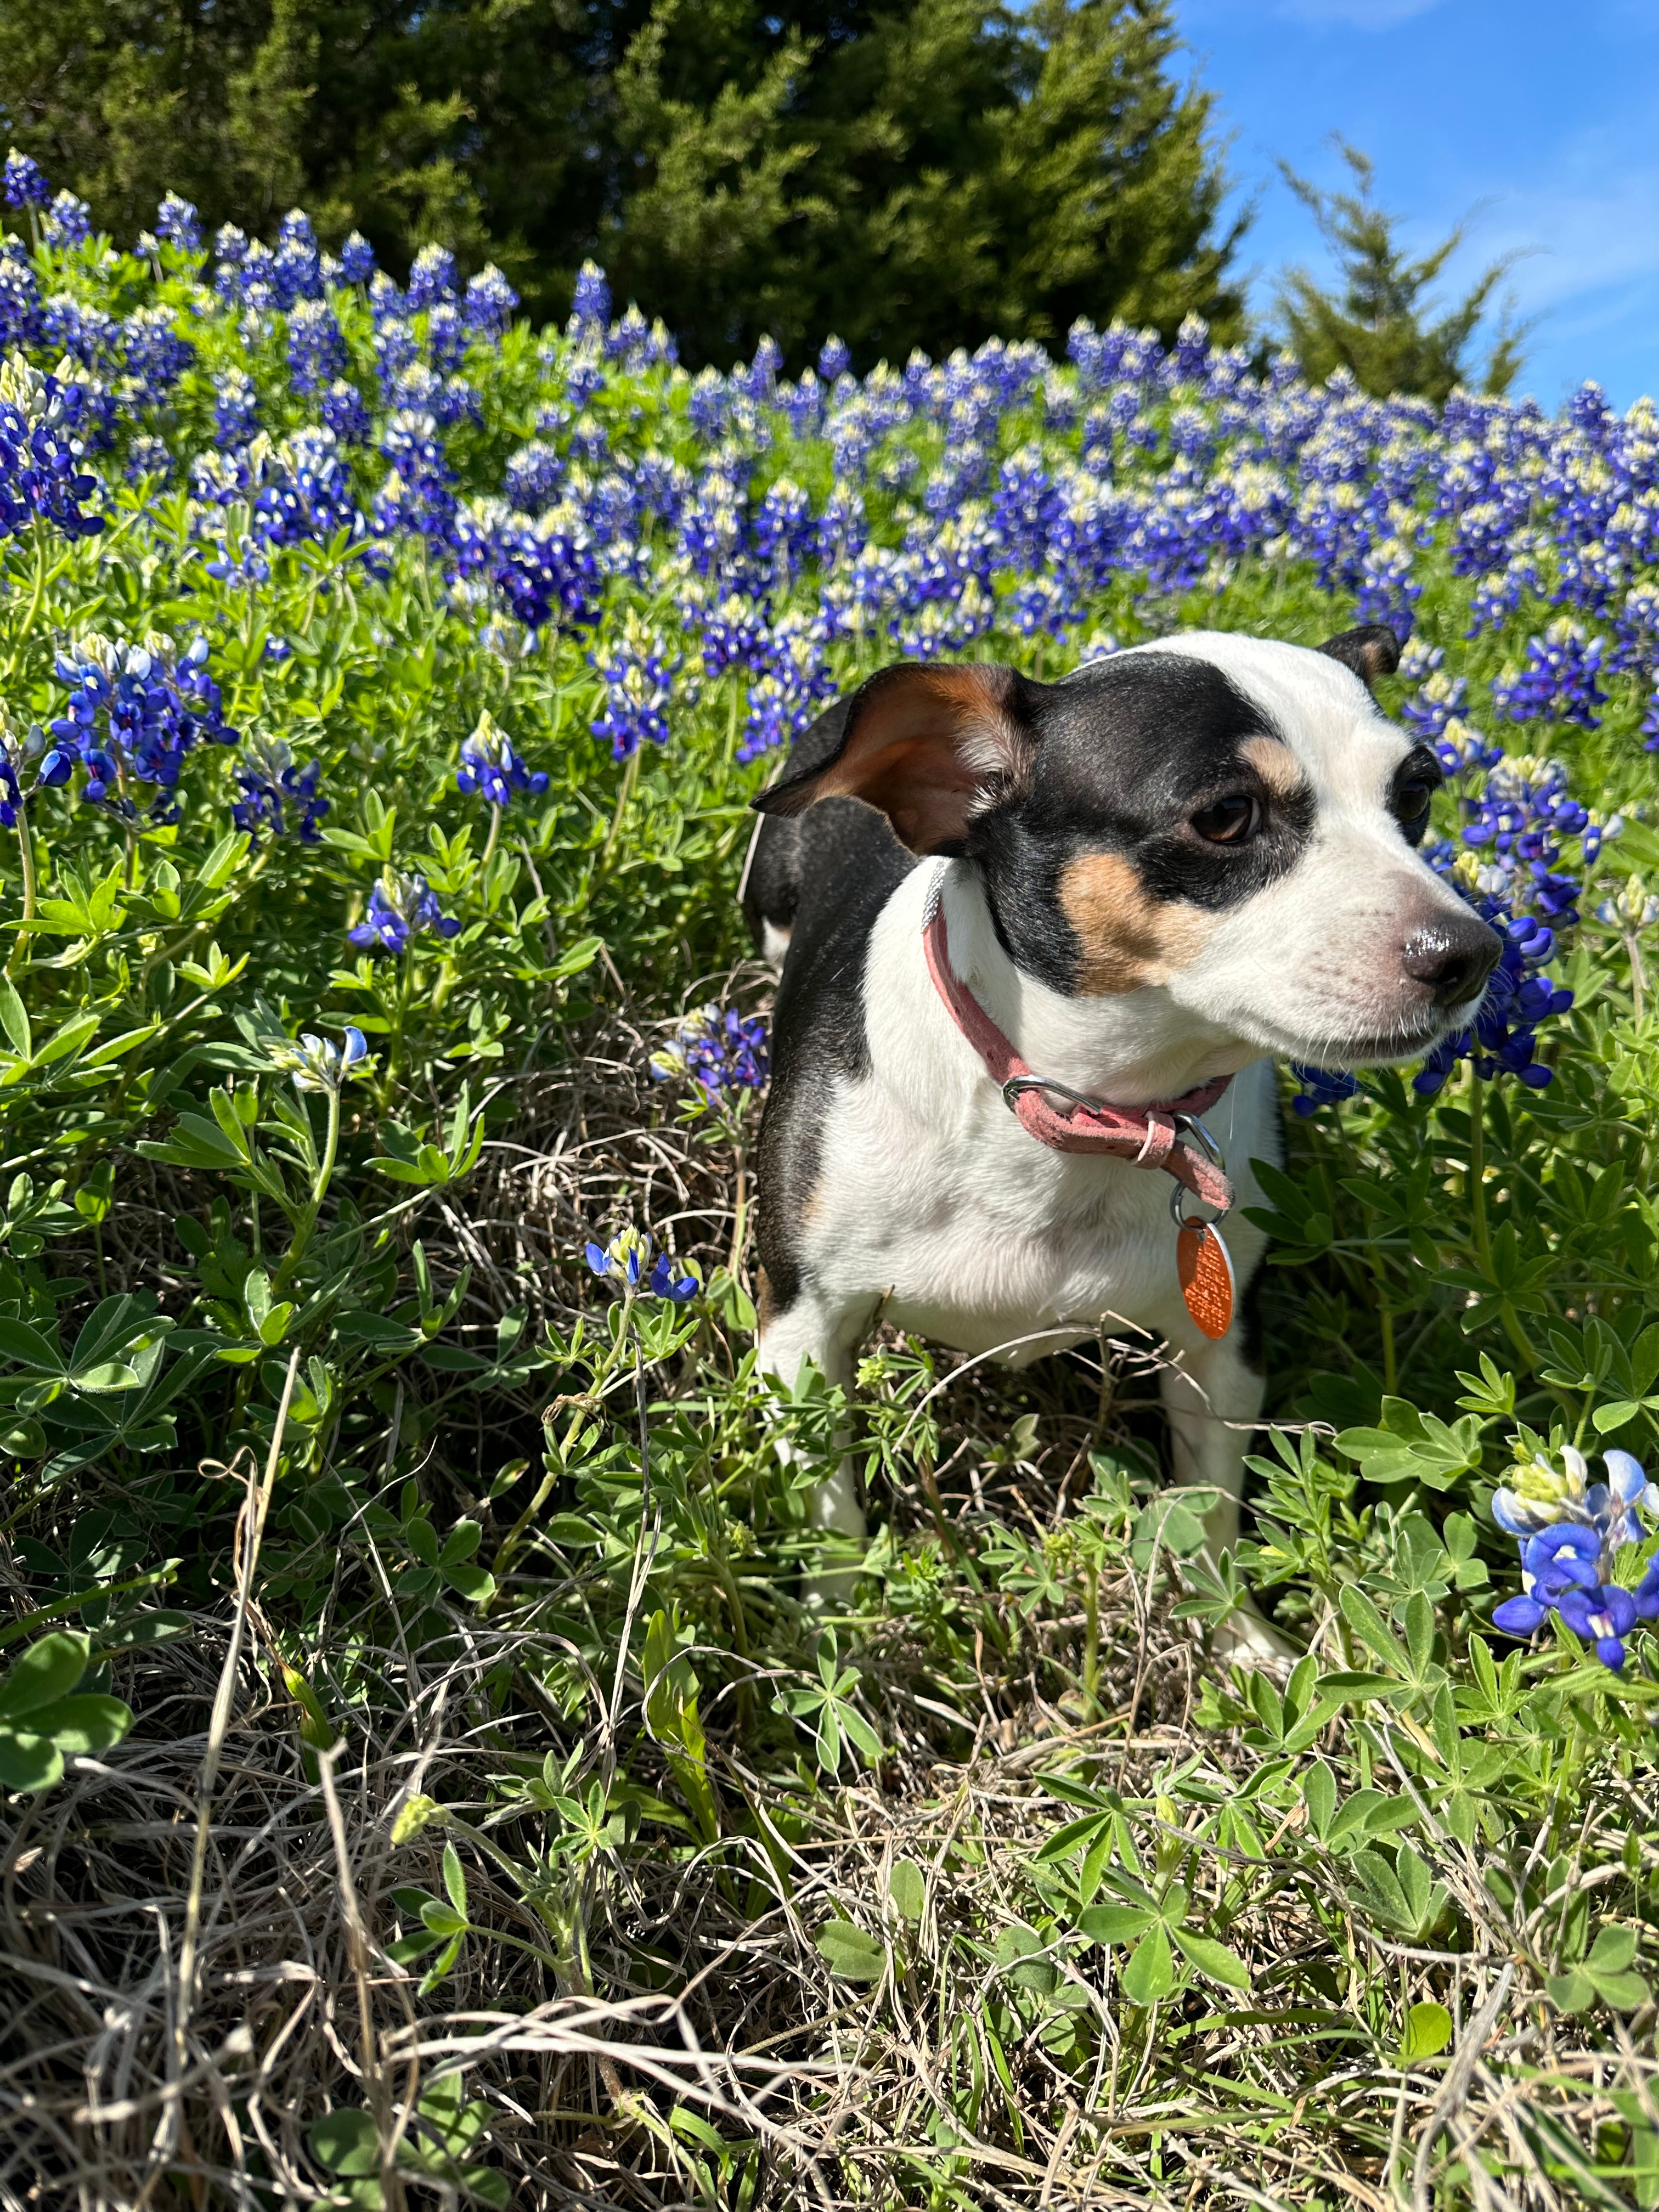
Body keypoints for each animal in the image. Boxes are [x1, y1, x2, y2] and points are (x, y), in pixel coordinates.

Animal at [738, 628, 1504, 1645]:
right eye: (1224, 815)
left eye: (1414, 791)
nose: (1470, 954)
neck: (1080, 1116)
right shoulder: (803, 1320)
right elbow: (827, 1505)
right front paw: (841, 1627)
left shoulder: (1222, 1344)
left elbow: (1211, 1510)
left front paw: (1239, 1640)